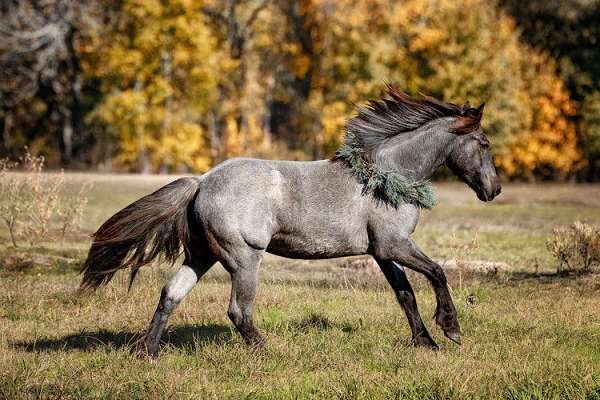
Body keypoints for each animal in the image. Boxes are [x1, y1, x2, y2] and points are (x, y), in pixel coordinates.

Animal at [81, 85, 502, 356]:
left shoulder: (382, 253)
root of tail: (202, 182)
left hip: (202, 255)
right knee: (238, 310)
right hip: (243, 259)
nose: (493, 189)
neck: (387, 174)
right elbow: (437, 273)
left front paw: (426, 343)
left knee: (171, 293)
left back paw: (148, 352)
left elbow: (406, 294)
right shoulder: (393, 244)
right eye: (484, 144)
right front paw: (451, 329)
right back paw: (269, 351)